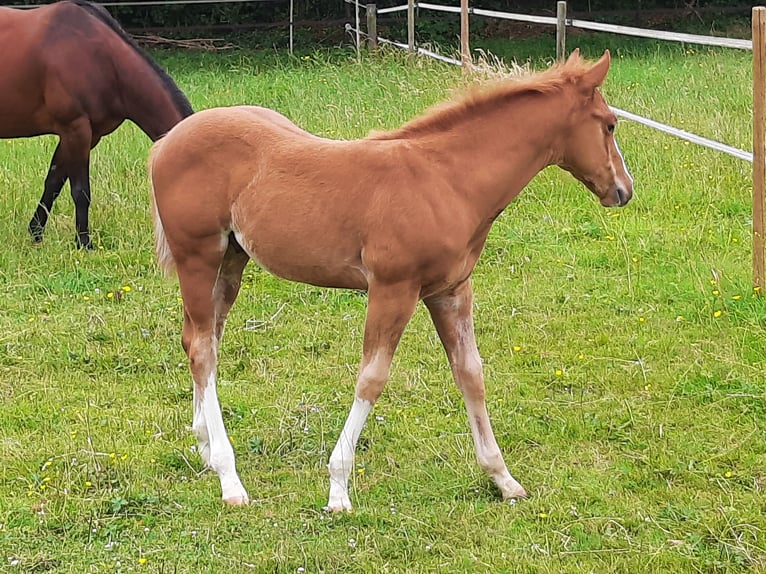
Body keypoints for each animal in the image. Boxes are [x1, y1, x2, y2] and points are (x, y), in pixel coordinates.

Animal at [0, 0, 192, 249]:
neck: (103, 59)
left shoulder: (86, 135)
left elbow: (53, 183)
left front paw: (36, 233)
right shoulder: (75, 129)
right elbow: (80, 191)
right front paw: (84, 243)